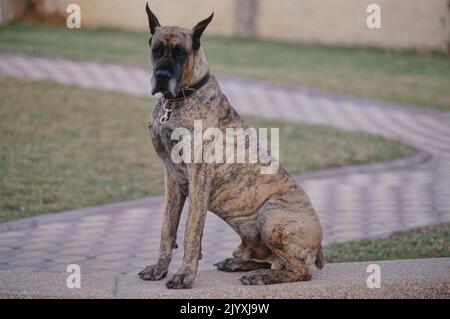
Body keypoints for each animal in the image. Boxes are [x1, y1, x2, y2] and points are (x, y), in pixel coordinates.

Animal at [137, 3, 324, 290]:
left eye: (180, 53)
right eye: (157, 49)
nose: (161, 76)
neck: (178, 100)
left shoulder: (199, 177)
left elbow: (191, 233)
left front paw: (184, 276)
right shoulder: (171, 177)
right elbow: (167, 229)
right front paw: (159, 268)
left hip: (271, 213)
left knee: (299, 270)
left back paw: (260, 277)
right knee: (272, 260)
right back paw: (239, 263)